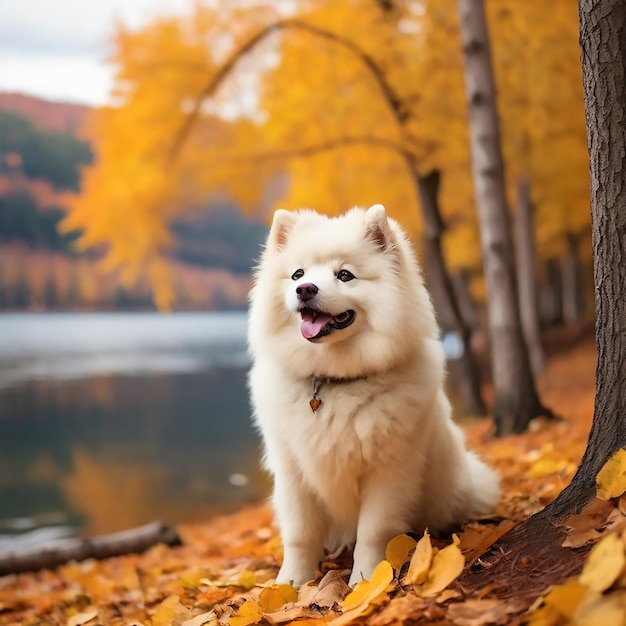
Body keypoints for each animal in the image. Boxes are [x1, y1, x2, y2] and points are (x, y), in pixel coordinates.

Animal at [249, 205, 498, 584]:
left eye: (345, 275)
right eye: (297, 274)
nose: (305, 289)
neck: (335, 380)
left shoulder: (389, 470)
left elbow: (373, 532)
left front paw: (366, 580)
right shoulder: (293, 470)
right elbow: (299, 534)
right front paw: (290, 584)